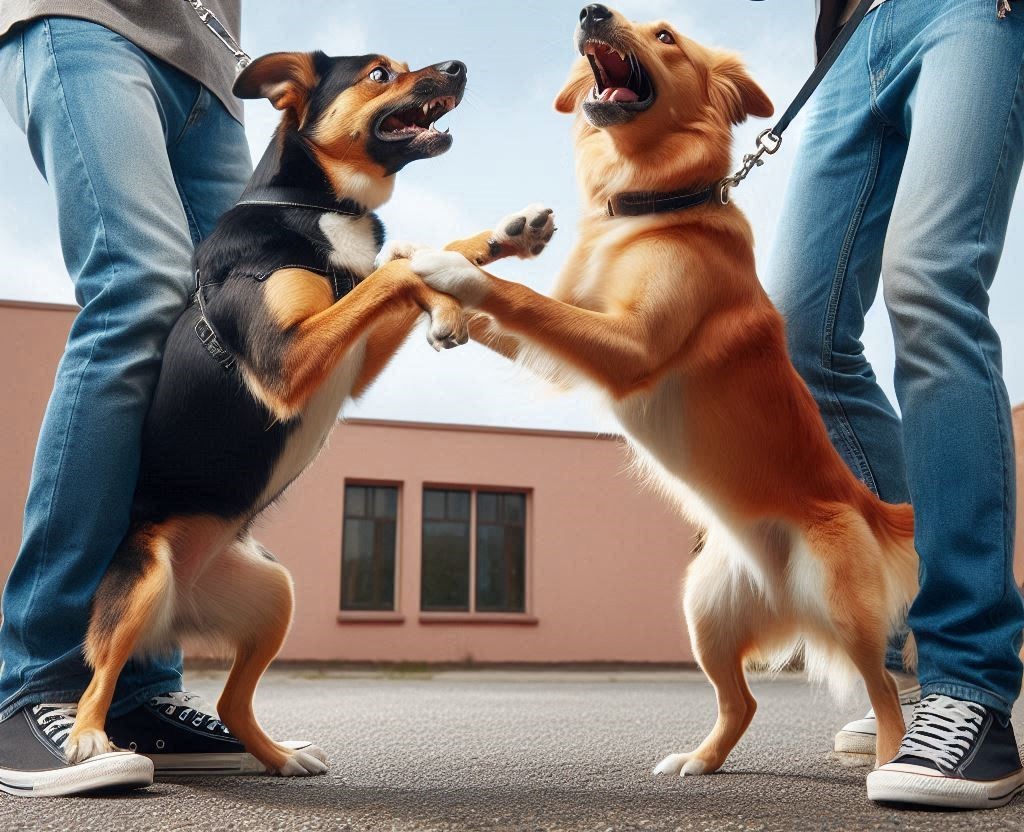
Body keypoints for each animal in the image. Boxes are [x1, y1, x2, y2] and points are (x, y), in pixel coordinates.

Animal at [67, 48, 557, 778]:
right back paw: (88, 741)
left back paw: (280, 756)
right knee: (99, 673)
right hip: (141, 579)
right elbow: (394, 271)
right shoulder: (286, 360)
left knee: (232, 702)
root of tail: (179, 606)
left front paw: (498, 242)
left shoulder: (350, 365)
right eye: (381, 74)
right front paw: (440, 287)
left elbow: (407, 264)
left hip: (273, 595)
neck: (320, 205)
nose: (459, 66)